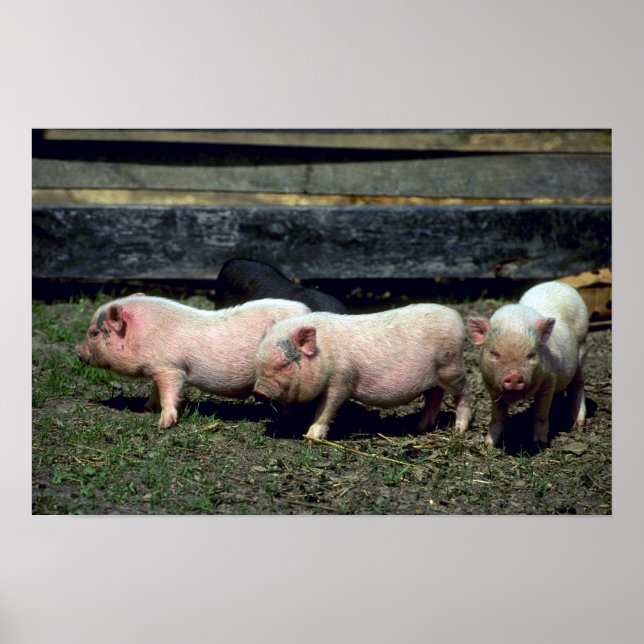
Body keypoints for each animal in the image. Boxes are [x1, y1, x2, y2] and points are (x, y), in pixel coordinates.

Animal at [77, 294, 310, 428]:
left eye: (94, 333)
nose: (77, 350)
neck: (147, 334)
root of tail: (307, 312)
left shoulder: (171, 368)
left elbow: (169, 394)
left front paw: (163, 425)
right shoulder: (159, 368)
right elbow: (156, 391)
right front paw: (145, 408)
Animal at [253, 305, 472, 440]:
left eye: (284, 364)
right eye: (258, 362)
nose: (258, 392)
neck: (324, 352)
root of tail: (456, 317)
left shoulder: (341, 380)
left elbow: (327, 407)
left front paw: (311, 436)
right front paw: (285, 420)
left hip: (451, 367)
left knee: (463, 392)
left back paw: (459, 430)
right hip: (435, 376)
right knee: (435, 396)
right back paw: (419, 428)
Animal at [467, 281, 589, 447]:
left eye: (531, 354)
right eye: (495, 353)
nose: (513, 375)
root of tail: (560, 283)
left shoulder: (549, 379)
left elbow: (540, 412)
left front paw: (539, 443)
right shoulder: (490, 385)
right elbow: (497, 416)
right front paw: (489, 444)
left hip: (582, 351)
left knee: (578, 386)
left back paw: (579, 425)